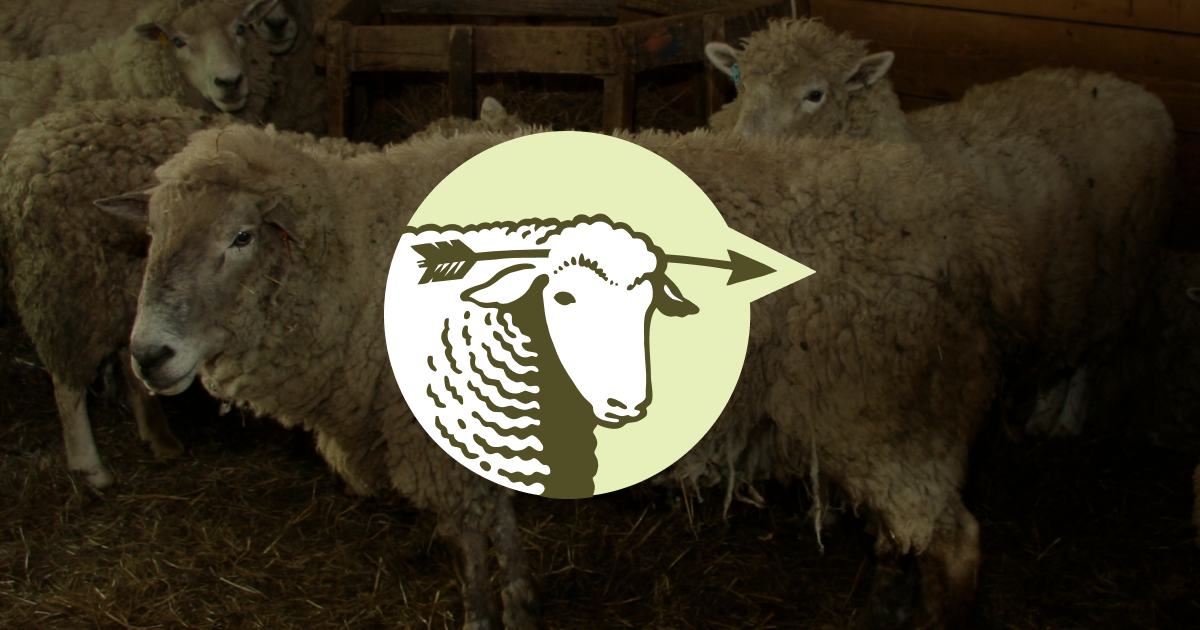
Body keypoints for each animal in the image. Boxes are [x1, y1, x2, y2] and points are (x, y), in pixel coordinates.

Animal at [0, 97, 378, 488]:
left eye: (242, 237)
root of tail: (33, 137)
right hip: (68, 292)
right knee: (68, 382)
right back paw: (91, 468)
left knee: (129, 362)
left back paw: (159, 437)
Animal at [704, 18, 1176, 438]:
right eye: (739, 81)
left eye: (815, 94)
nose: (740, 146)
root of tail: (1128, 89)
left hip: (1122, 261)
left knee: (1092, 353)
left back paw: (1064, 420)